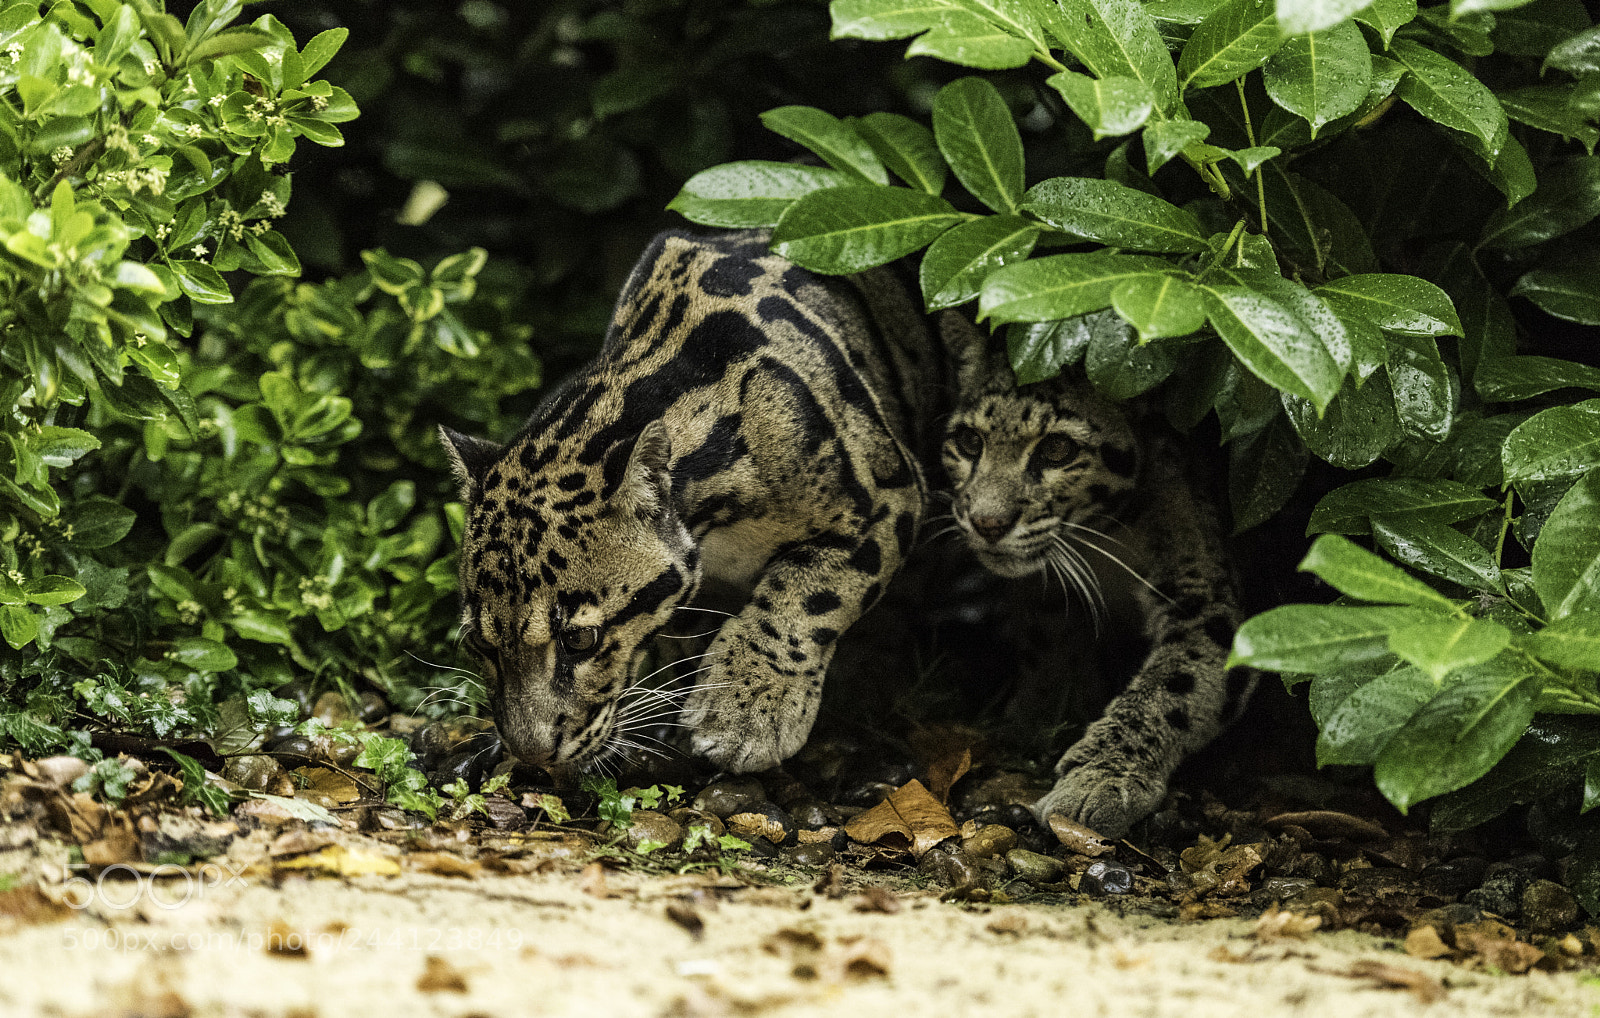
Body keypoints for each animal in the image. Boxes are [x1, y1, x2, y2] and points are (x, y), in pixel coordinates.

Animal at [440, 229, 971, 778]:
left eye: (580, 640)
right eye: (480, 644)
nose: (531, 753)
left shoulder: (885, 497)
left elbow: (808, 595)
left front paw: (745, 711)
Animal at [940, 324, 1258, 839]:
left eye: (1057, 449)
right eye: (969, 442)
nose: (987, 523)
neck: (1098, 535)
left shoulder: (1208, 600)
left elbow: (1174, 683)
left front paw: (1102, 775)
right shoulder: (1049, 587)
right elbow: (1047, 639)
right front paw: (1038, 714)